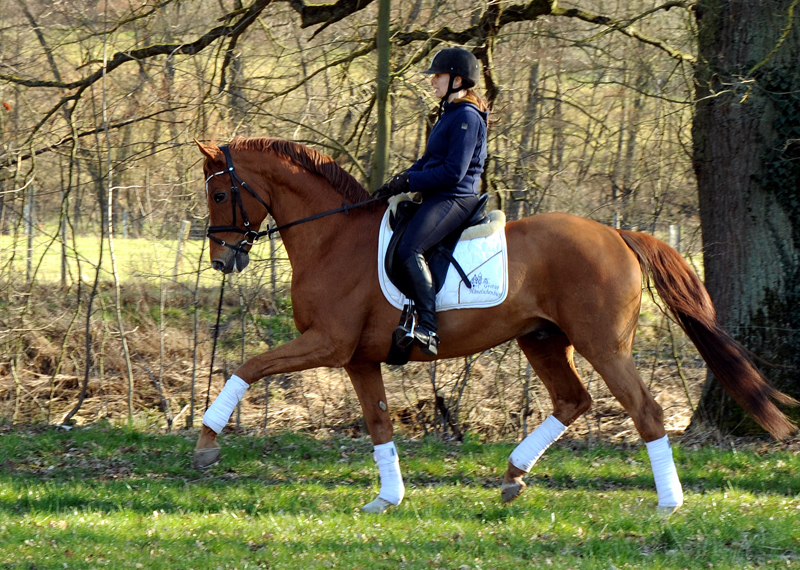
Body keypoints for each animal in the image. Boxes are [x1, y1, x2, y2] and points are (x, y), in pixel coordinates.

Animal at [192, 135, 792, 512]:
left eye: (220, 193)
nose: (223, 260)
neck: (332, 238)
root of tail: (619, 234)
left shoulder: (328, 344)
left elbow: (247, 368)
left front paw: (206, 443)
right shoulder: (359, 359)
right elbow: (380, 425)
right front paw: (387, 498)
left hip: (603, 344)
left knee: (645, 410)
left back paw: (669, 504)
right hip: (542, 341)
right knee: (573, 400)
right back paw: (513, 476)